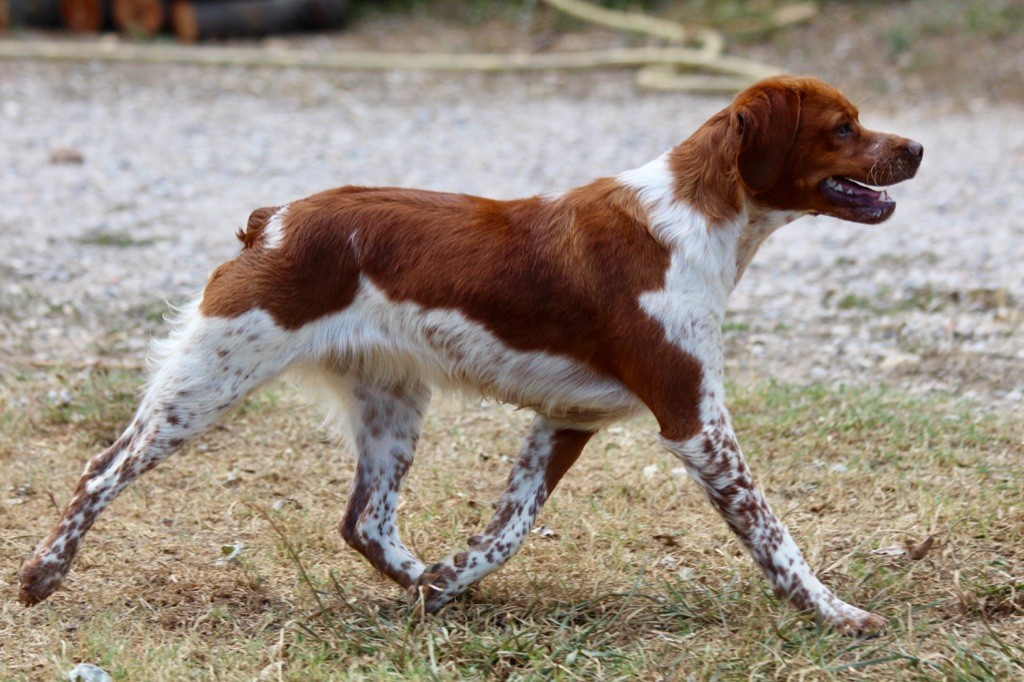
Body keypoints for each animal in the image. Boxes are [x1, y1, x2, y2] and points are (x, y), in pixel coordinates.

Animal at [22, 75, 921, 630]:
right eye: (843, 128)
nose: (916, 149)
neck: (700, 220)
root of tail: (272, 220)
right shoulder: (693, 418)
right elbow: (774, 536)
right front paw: (836, 613)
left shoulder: (568, 418)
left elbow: (509, 527)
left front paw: (448, 582)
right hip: (211, 378)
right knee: (102, 468)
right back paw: (44, 573)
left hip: (391, 405)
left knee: (365, 521)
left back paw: (420, 581)